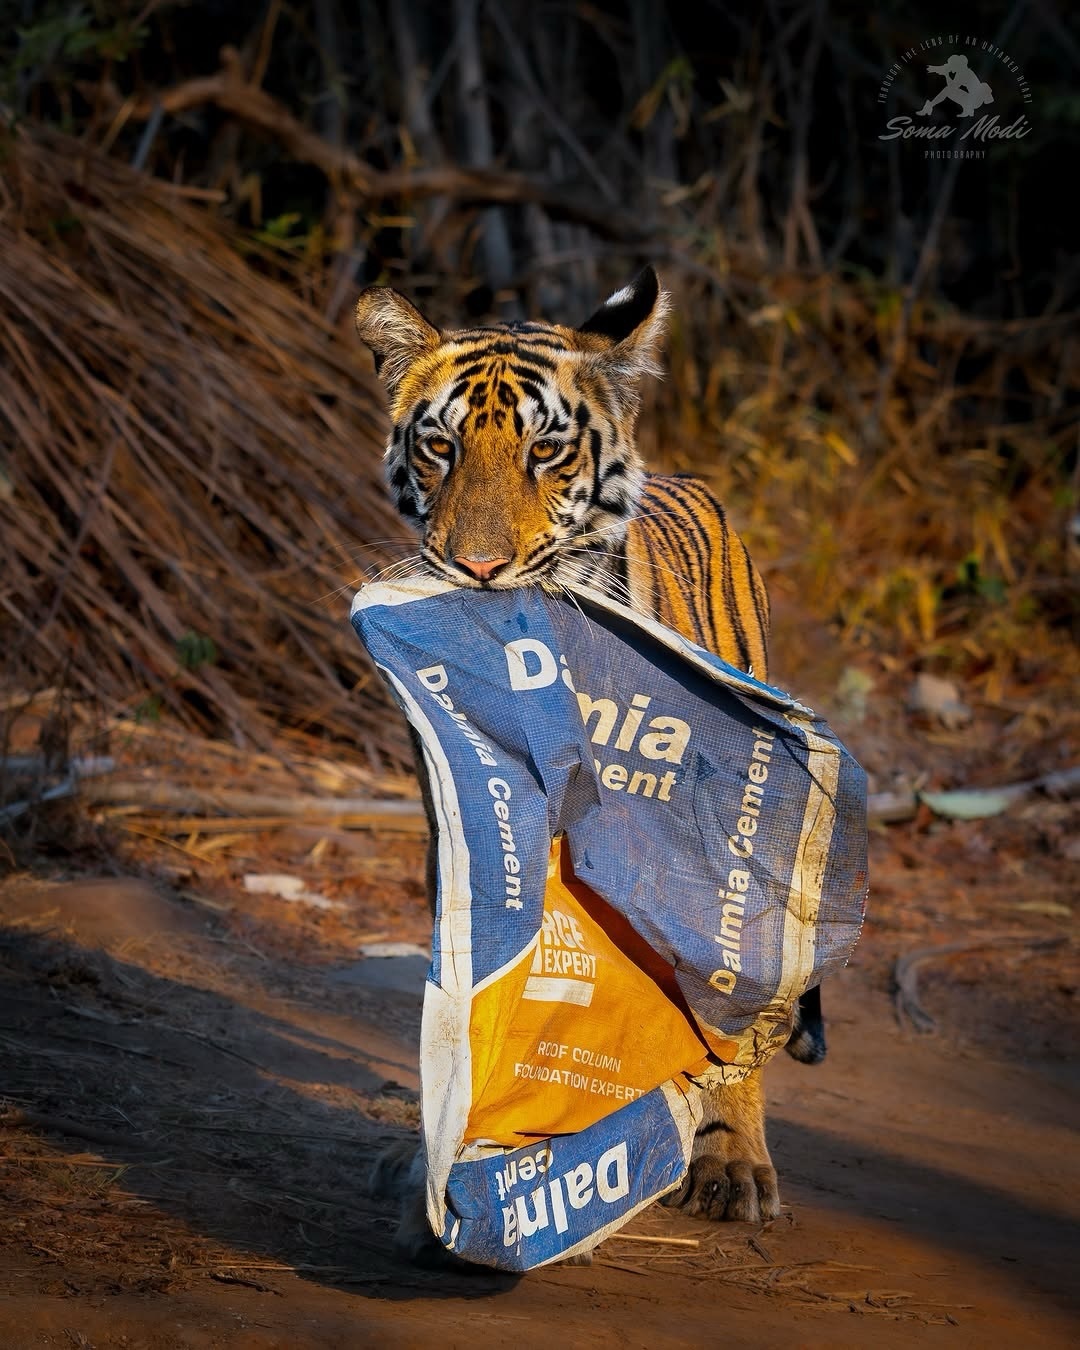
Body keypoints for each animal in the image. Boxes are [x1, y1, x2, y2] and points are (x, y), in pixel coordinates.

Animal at [354, 266, 827, 1265]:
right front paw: (461, 1166)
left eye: (545, 452)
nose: (477, 567)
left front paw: (721, 1155)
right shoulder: (468, 819)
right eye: (441, 446)